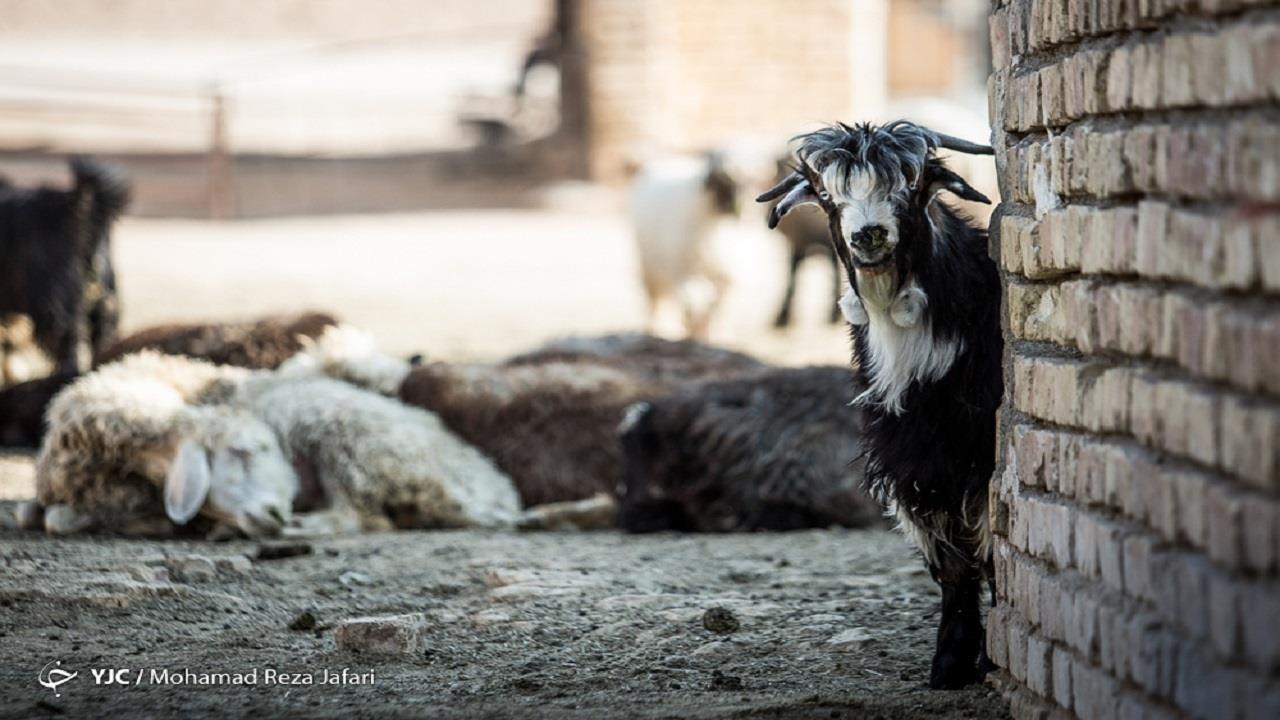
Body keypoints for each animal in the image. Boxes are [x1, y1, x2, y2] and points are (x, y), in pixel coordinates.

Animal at [36, 351, 514, 535]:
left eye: (262, 448)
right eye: (240, 452)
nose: (276, 513)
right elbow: (48, 516)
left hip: (347, 439)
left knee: (361, 517)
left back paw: (305, 526)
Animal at [752, 120, 1003, 686]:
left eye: (912, 183)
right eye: (826, 194)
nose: (868, 234)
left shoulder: (976, 454)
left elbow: (985, 547)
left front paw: (978, 659)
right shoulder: (910, 457)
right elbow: (951, 561)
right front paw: (950, 662)